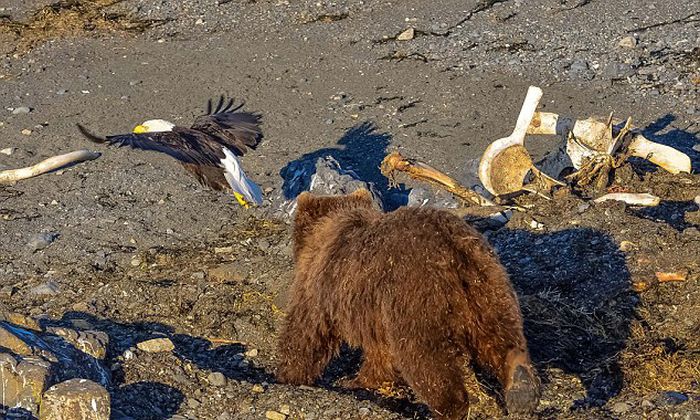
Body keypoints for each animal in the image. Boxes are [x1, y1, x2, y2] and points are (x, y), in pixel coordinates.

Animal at [276, 190, 540, 420]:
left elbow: (306, 330)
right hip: (489, 288)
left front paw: (287, 374)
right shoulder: (374, 308)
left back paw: (448, 407)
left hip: (416, 300)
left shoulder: (321, 279)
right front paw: (361, 380)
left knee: (425, 360)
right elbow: (380, 353)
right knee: (502, 337)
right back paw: (521, 387)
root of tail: (452, 250)